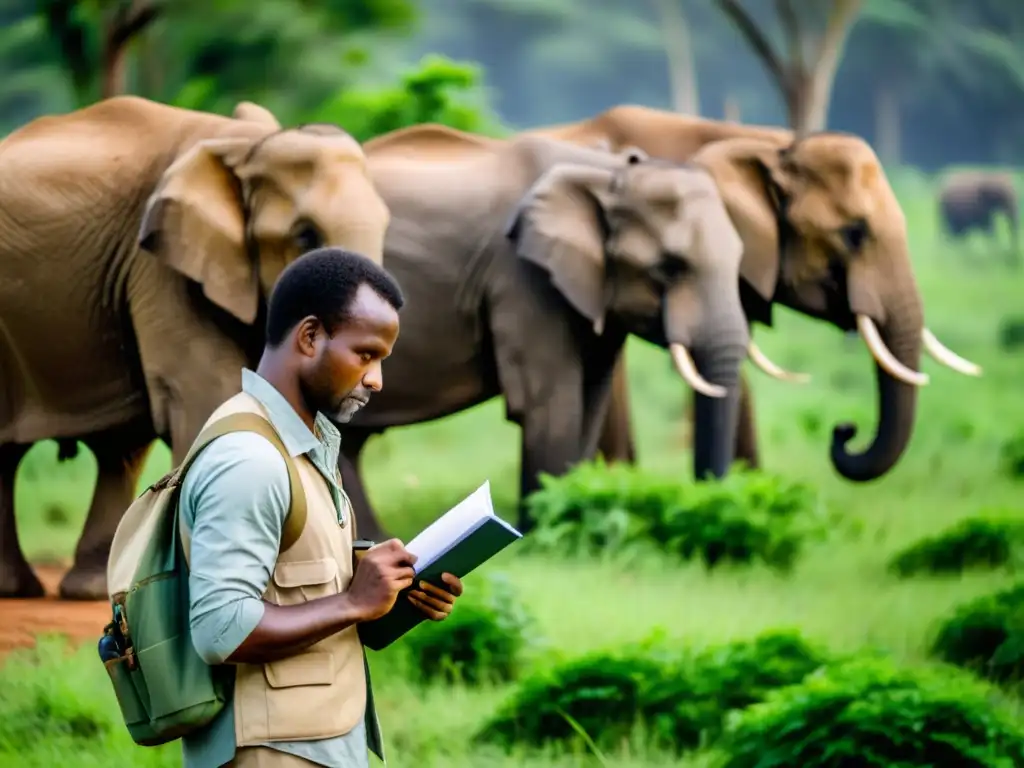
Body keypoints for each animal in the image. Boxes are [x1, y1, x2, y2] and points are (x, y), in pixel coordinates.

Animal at [0, 96, 391, 602]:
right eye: (305, 235)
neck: (249, 147)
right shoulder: (158, 265)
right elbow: (205, 387)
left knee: (119, 446)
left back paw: (81, 590)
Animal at [335, 126, 753, 540]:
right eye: (669, 267)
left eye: (739, 260)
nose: (711, 501)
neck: (609, 173)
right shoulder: (522, 277)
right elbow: (550, 401)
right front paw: (539, 533)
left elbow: (590, 400)